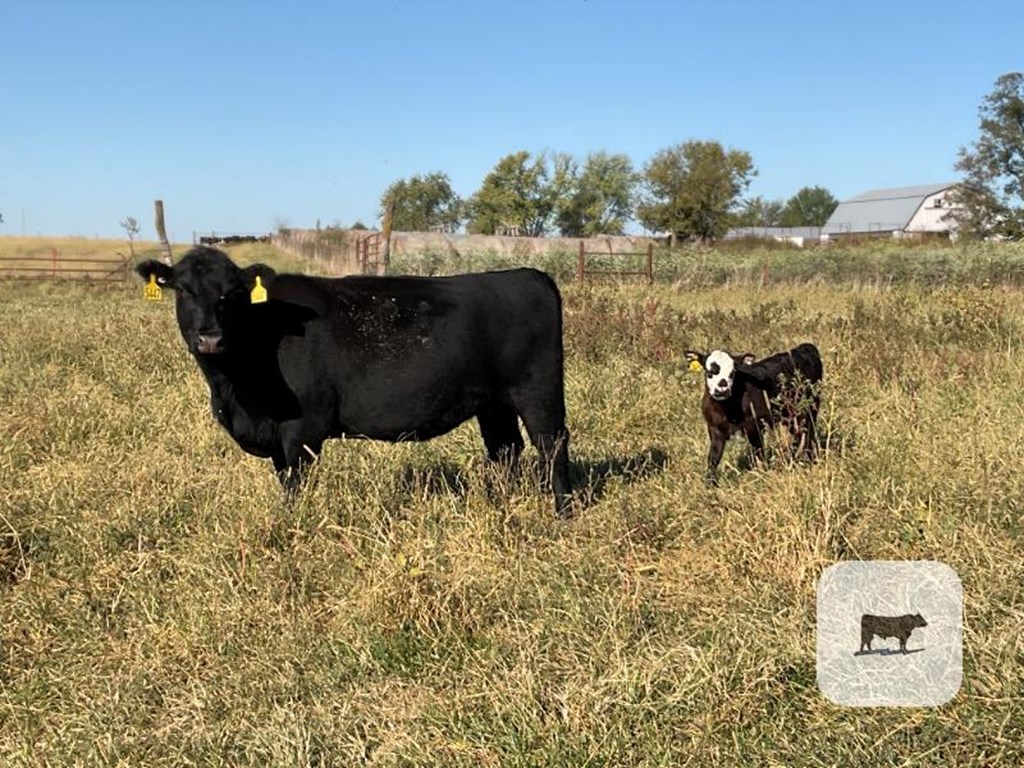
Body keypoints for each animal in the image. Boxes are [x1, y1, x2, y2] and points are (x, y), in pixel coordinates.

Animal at [134, 246, 577, 518]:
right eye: (183, 290)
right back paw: (501, 504)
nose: (210, 337)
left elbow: (295, 485)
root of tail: (527, 274)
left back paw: (563, 512)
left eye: (230, 294)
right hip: (493, 402)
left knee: (551, 443)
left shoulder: (303, 429)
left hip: (538, 390)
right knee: (506, 449)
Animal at [679, 342, 823, 481]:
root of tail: (804, 347)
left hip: (809, 408)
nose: (722, 391)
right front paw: (710, 483)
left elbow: (758, 455)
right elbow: (713, 458)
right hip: (789, 416)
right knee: (796, 437)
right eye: (709, 372)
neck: (728, 410)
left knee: (808, 435)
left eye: (732, 373)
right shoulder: (715, 429)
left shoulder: (754, 427)